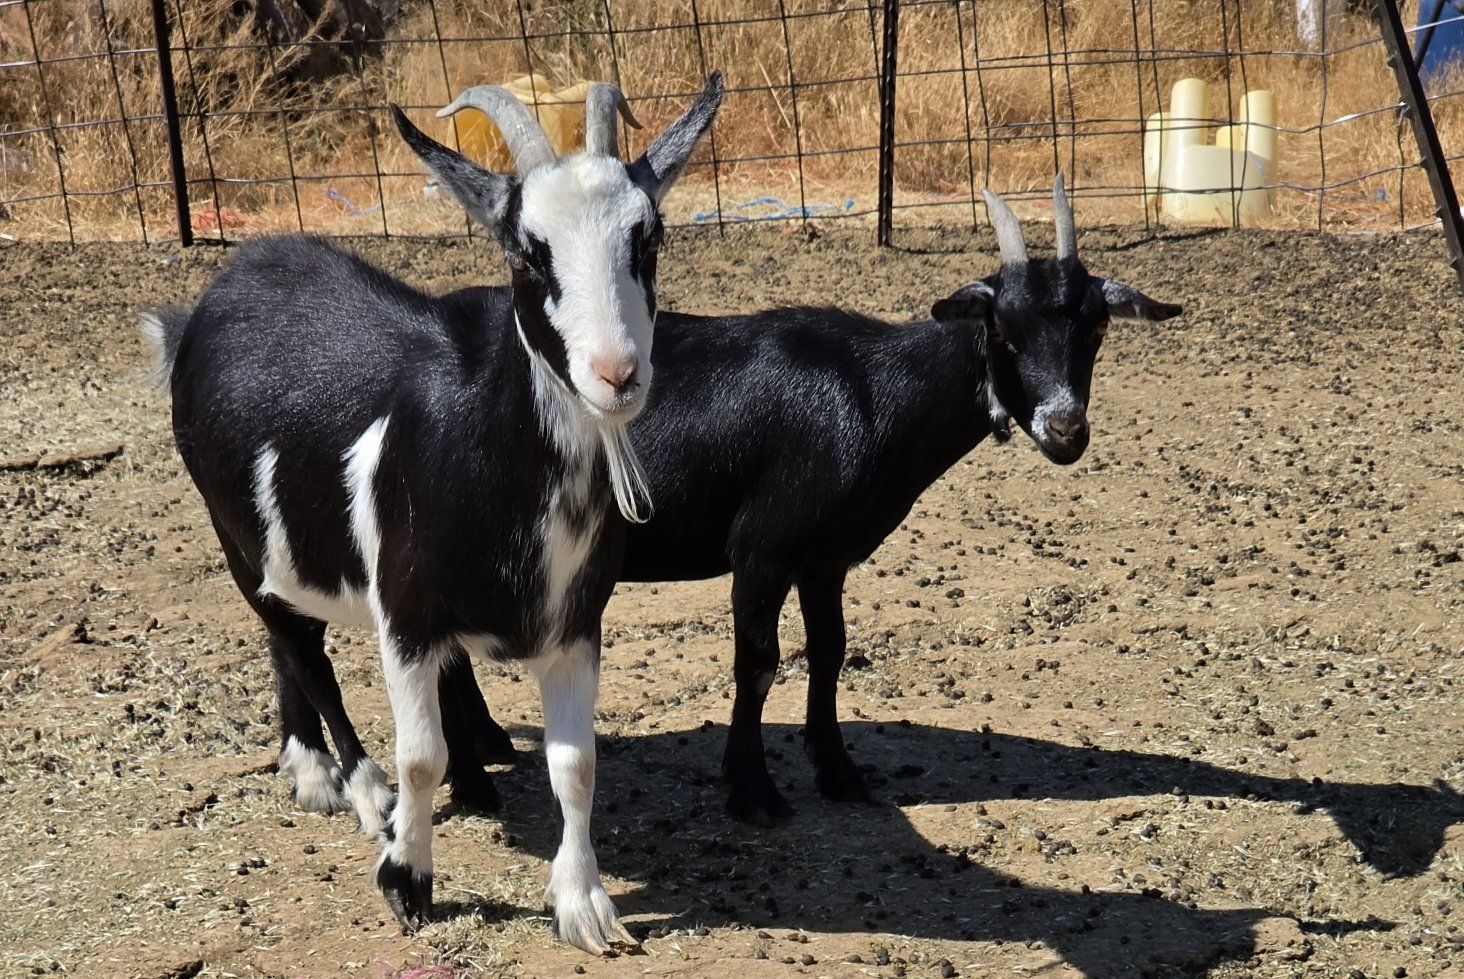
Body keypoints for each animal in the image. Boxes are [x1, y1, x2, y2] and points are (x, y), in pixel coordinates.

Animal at [142, 74, 723, 952]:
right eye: (526, 252)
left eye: (648, 238)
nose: (618, 374)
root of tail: (207, 302)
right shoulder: (407, 613)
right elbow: (419, 755)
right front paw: (406, 877)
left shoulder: (575, 622)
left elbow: (576, 762)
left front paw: (585, 904)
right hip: (232, 531)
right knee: (301, 649)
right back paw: (355, 786)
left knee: (288, 636)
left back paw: (338, 766)